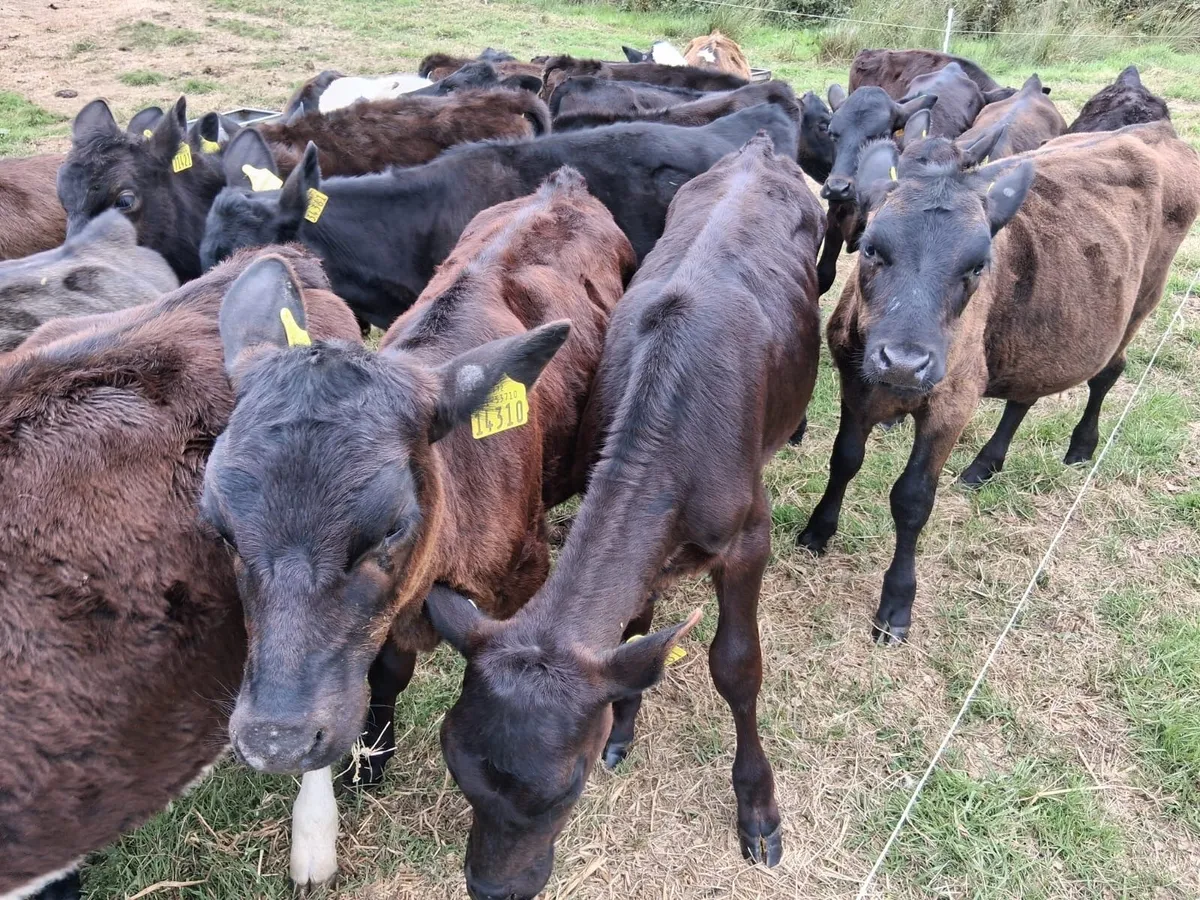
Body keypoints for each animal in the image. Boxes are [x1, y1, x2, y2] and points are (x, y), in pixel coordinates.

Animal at [202, 167, 634, 884]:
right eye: (222, 529)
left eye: (390, 528)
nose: (274, 741)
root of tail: (561, 183)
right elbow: (377, 676)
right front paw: (353, 781)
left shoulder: (524, 578)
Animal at [427, 133, 824, 900]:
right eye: (453, 761)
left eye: (566, 787)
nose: (492, 888)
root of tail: (759, 147)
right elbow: (636, 628)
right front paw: (624, 727)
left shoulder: (748, 536)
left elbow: (737, 667)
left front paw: (758, 809)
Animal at [798, 122, 1200, 646]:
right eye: (870, 248)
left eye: (976, 266)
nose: (904, 363)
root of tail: (1155, 130)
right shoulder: (856, 382)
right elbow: (844, 460)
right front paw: (818, 531)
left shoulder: (953, 401)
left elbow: (912, 500)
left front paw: (896, 604)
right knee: (1024, 395)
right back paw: (984, 465)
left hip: (1140, 303)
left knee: (1108, 374)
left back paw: (1082, 444)